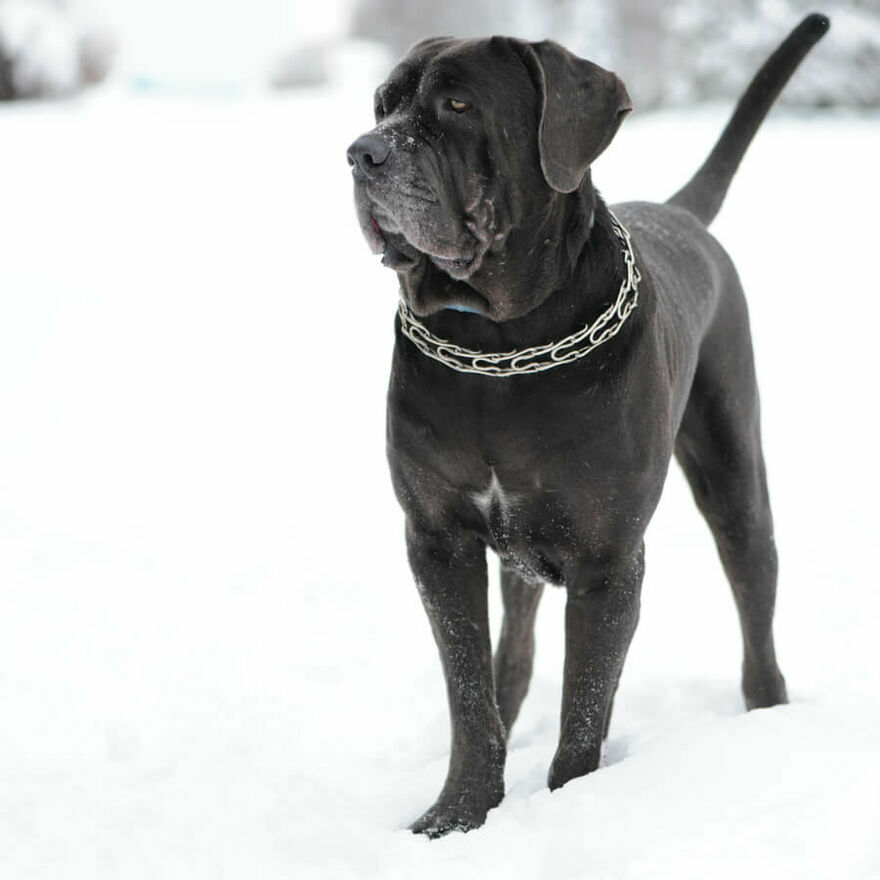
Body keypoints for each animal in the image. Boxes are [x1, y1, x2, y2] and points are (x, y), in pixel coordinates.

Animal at [347, 14, 829, 838]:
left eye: (458, 105)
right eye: (383, 103)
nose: (362, 152)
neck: (498, 345)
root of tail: (679, 212)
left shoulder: (607, 561)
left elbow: (585, 704)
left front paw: (572, 807)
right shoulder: (438, 541)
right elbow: (468, 689)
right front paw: (457, 814)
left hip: (736, 478)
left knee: (755, 606)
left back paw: (768, 715)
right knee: (509, 657)